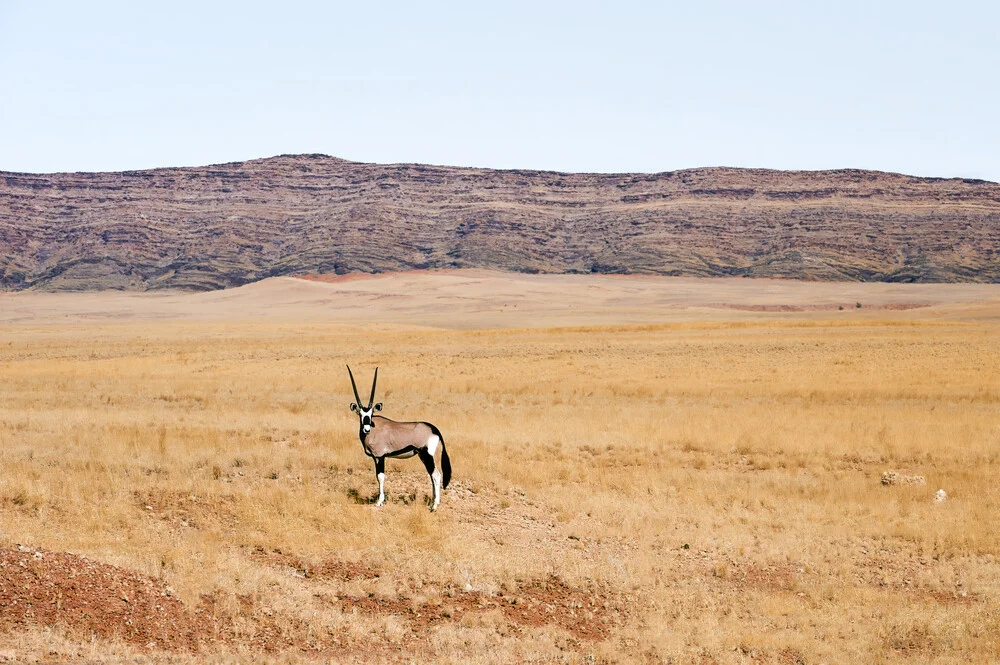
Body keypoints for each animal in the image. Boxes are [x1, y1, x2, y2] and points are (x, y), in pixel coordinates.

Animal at [346, 366, 452, 510]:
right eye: (360, 414)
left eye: (371, 413)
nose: (366, 429)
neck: (374, 429)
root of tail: (434, 429)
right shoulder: (375, 457)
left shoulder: (380, 456)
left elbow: (380, 476)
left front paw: (379, 502)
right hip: (423, 456)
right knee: (432, 475)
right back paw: (431, 502)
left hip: (427, 455)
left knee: (436, 475)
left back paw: (435, 505)